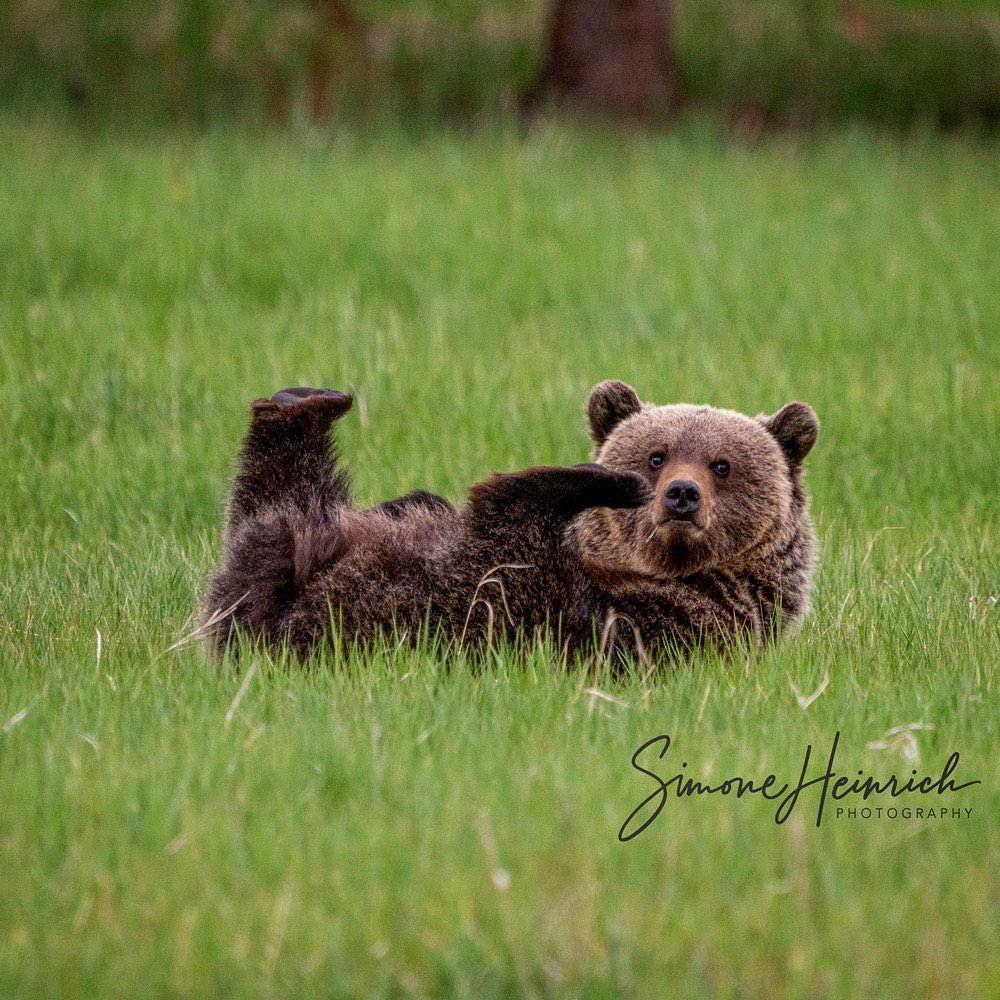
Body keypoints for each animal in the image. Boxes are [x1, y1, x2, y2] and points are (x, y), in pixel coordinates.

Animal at [201, 381, 818, 661]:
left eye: (722, 465)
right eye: (657, 453)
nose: (679, 494)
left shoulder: (680, 618)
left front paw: (603, 478)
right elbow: (421, 502)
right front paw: (412, 497)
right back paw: (305, 400)